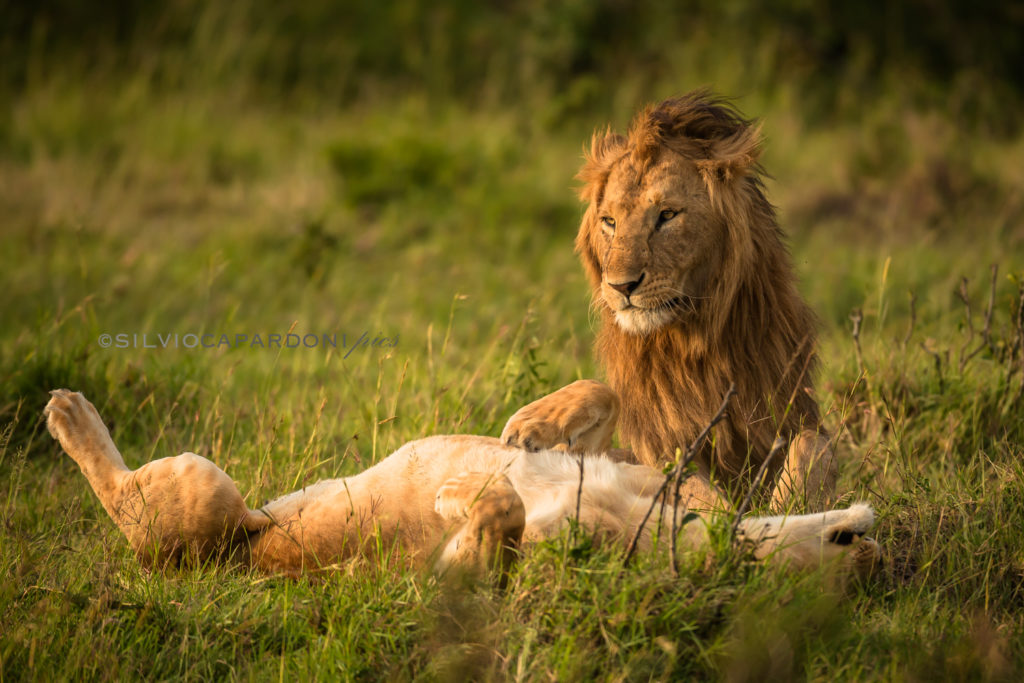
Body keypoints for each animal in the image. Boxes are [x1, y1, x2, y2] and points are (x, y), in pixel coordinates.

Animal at [502, 90, 836, 511]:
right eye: (609, 222)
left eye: (668, 215)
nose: (621, 286)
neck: (695, 345)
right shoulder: (662, 448)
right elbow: (694, 489)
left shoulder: (790, 417)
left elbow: (814, 446)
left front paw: (783, 513)